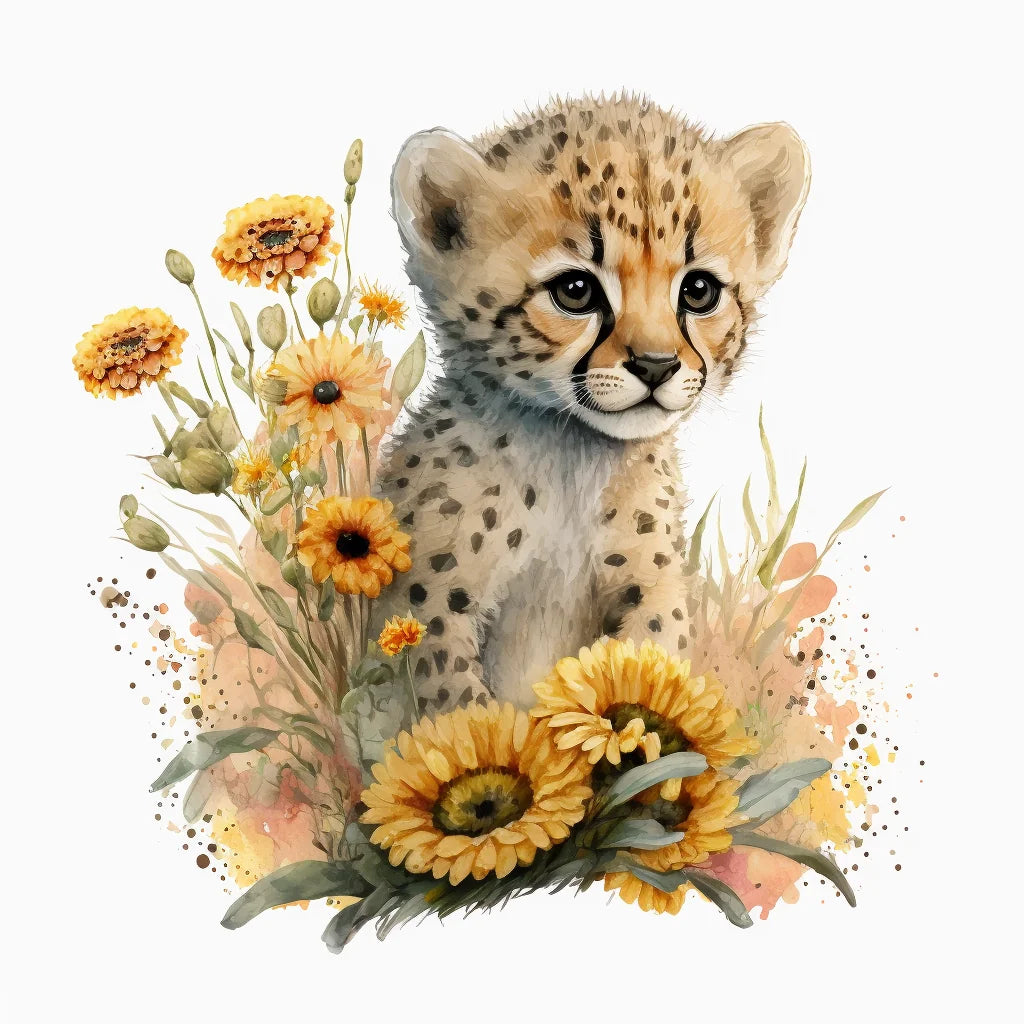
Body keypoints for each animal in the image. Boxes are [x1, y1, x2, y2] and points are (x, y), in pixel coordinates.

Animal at [370, 93, 810, 713]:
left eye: (698, 291)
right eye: (575, 291)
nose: (656, 365)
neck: (571, 454)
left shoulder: (653, 584)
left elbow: (653, 661)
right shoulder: (426, 604)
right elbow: (459, 705)